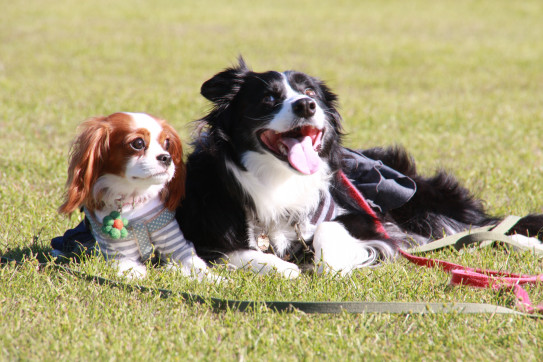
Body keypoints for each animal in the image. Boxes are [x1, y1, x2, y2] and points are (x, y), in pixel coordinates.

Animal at [175, 58, 543, 278]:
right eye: (268, 98)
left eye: (310, 93)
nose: (307, 105)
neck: (279, 179)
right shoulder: (205, 231)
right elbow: (233, 253)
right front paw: (284, 266)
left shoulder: (368, 218)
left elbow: (330, 233)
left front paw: (337, 263)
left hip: (425, 205)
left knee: (483, 227)